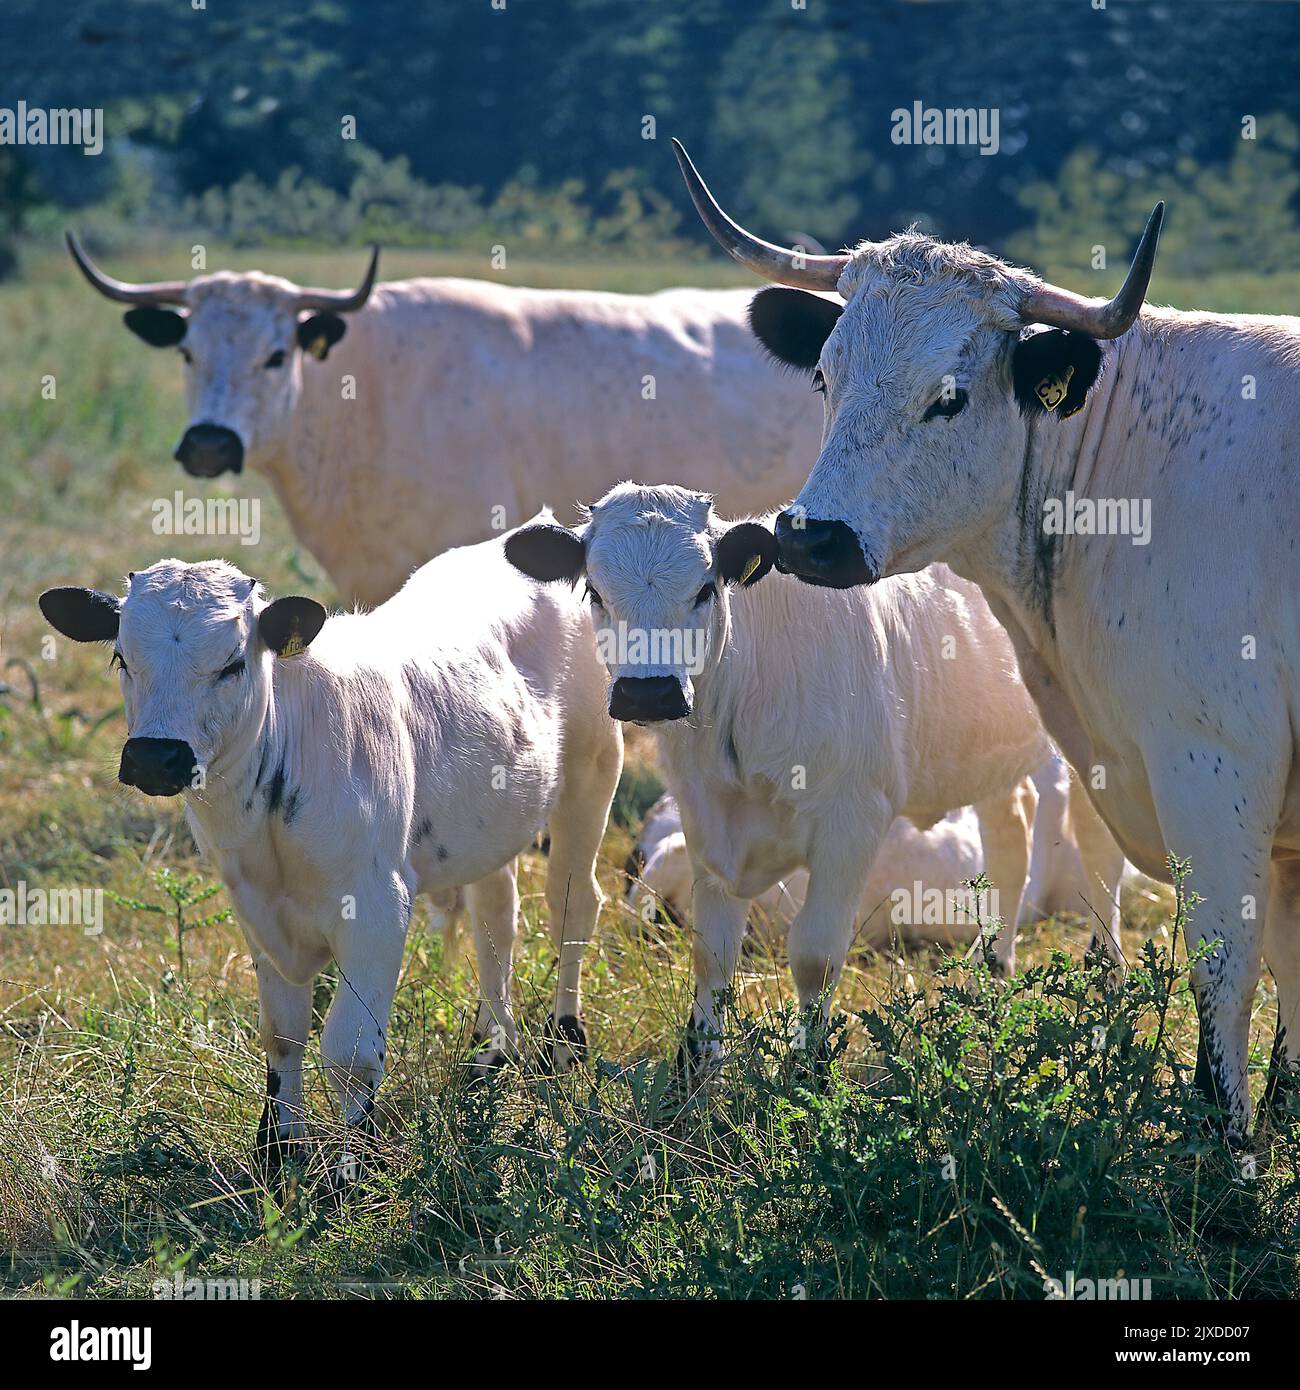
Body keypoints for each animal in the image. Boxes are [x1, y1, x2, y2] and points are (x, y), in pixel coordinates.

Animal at [39, 528, 625, 1184]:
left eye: (232, 663)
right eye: (121, 657)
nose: (154, 757)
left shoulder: (377, 908)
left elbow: (348, 1050)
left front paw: (355, 1165)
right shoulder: (259, 912)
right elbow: (282, 1035)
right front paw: (276, 1150)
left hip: (592, 773)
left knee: (572, 904)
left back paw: (564, 1043)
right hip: (493, 825)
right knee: (496, 916)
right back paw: (489, 1050)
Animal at [503, 480, 1123, 1073]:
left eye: (705, 589)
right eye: (594, 591)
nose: (648, 692)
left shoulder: (853, 820)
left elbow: (815, 956)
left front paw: (809, 1071)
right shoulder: (705, 814)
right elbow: (711, 952)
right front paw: (694, 1069)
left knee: (1100, 853)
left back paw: (1108, 977)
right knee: (1011, 839)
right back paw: (992, 969)